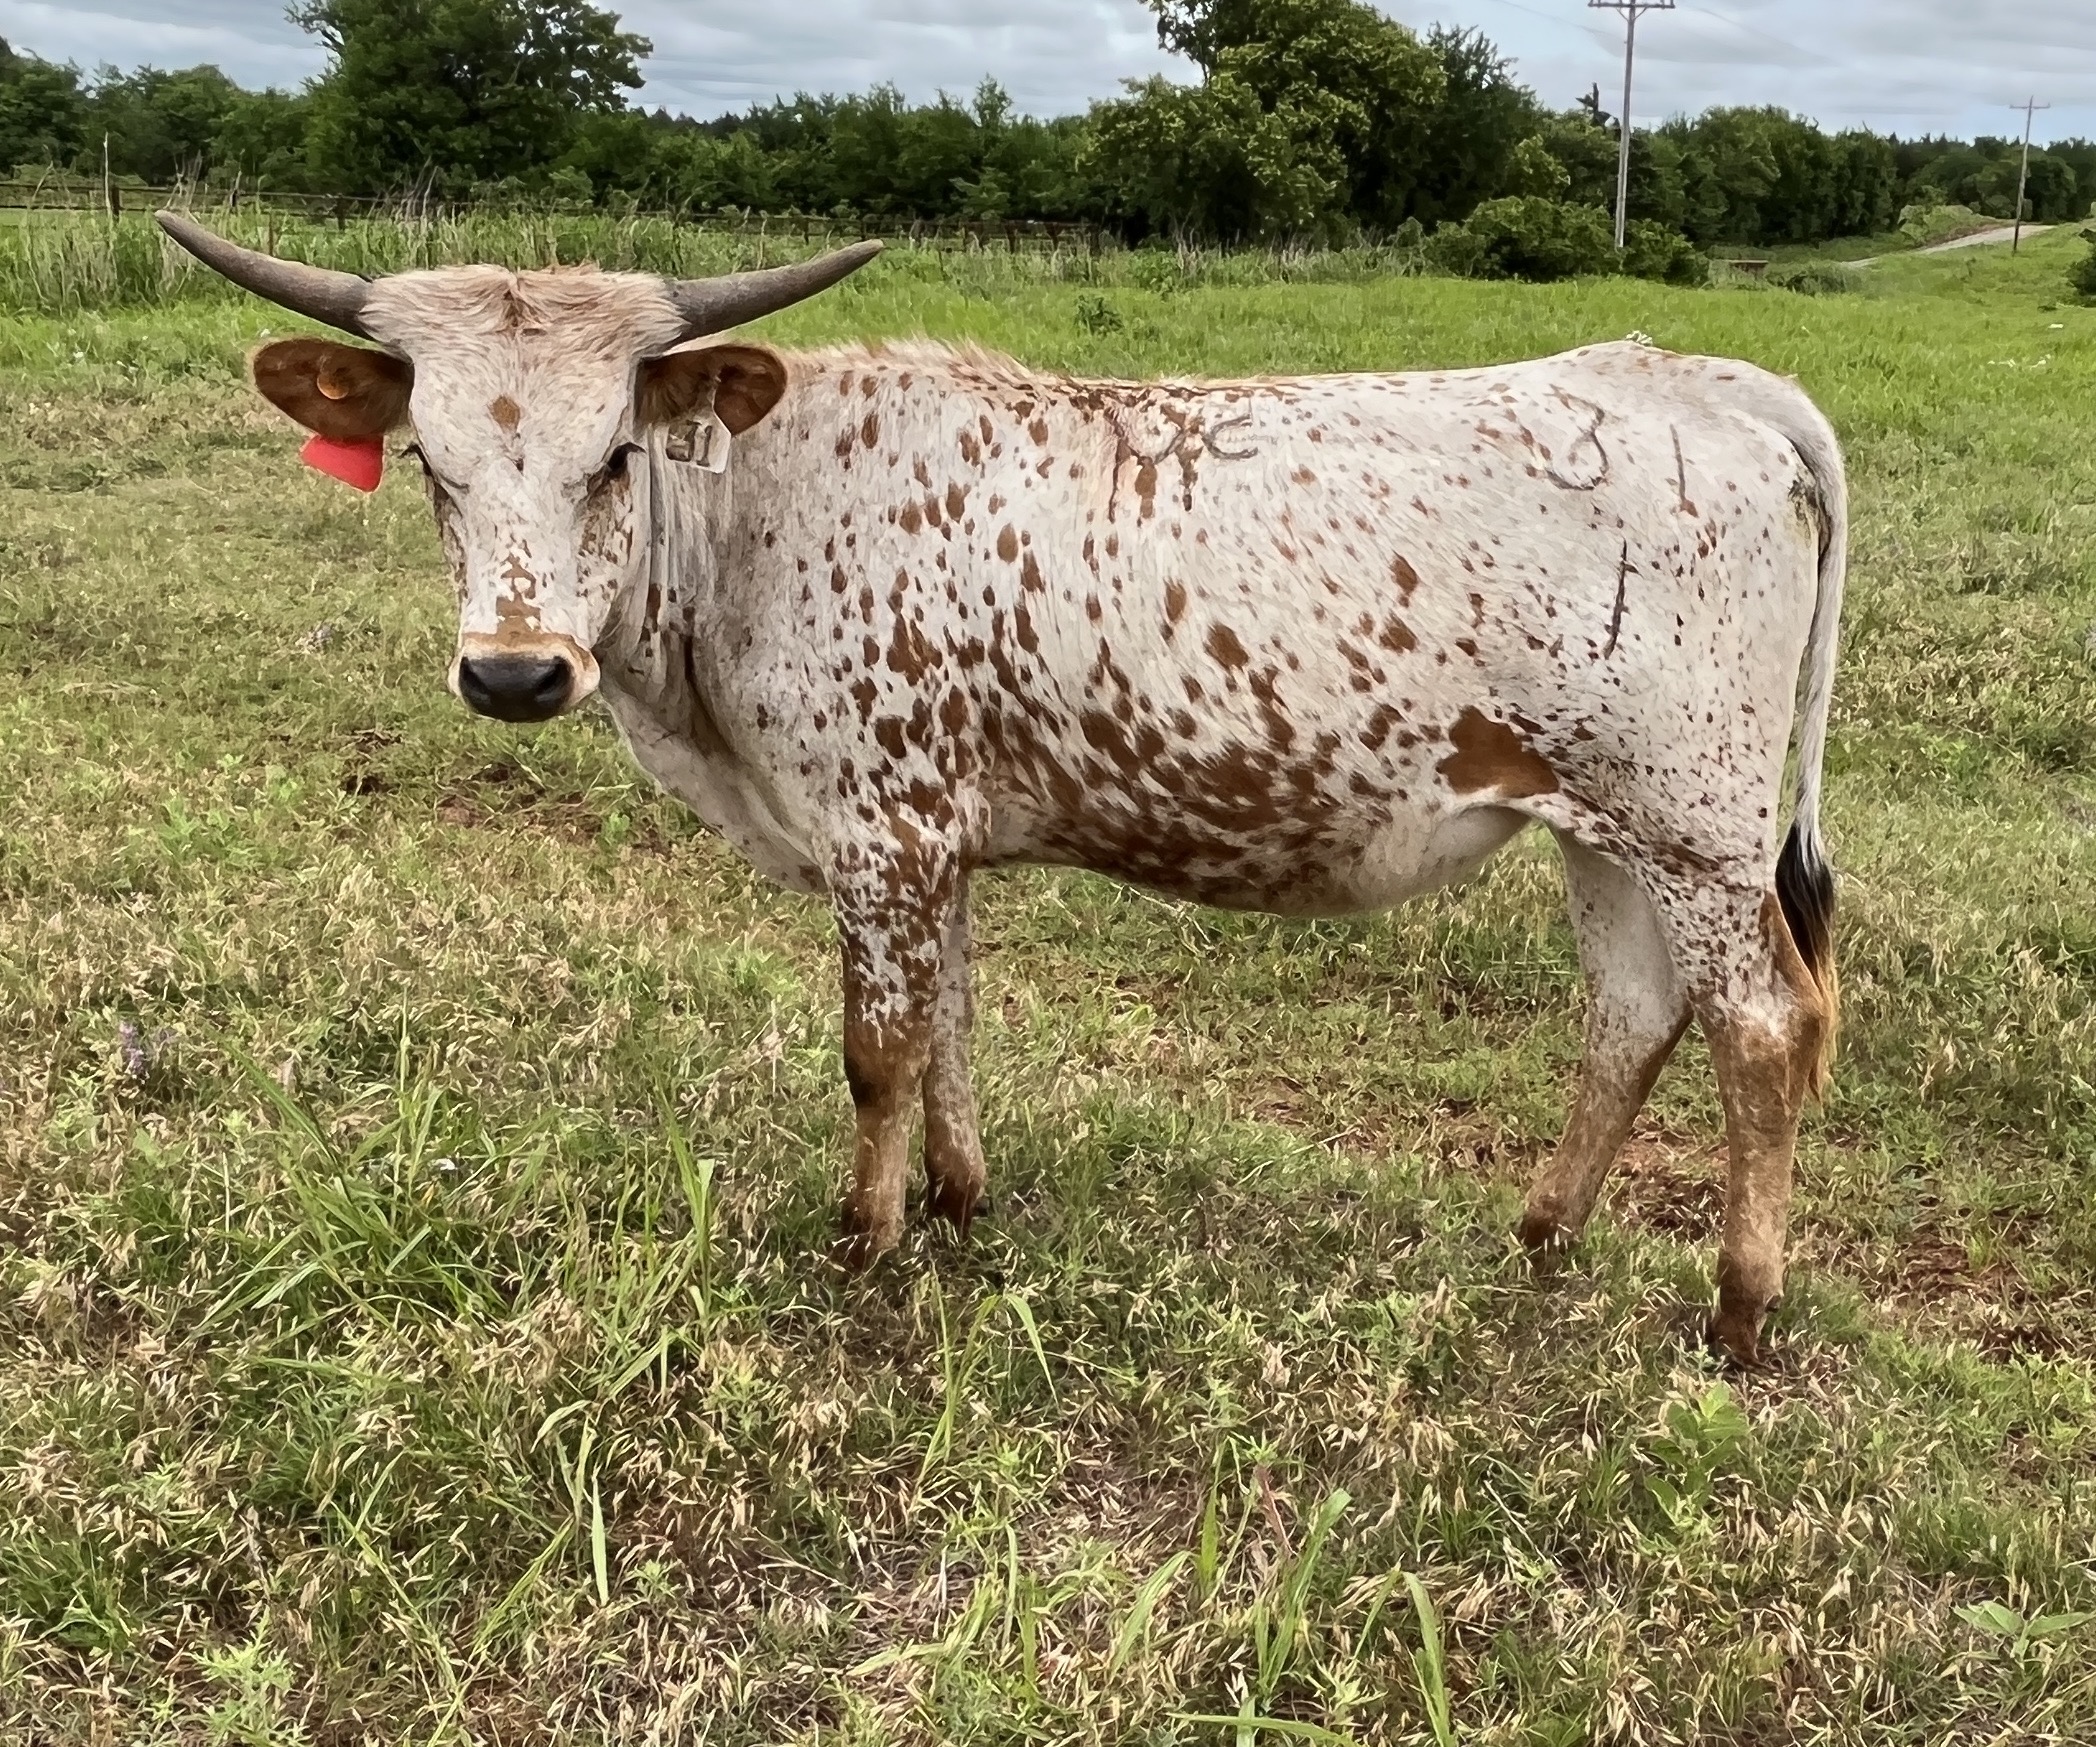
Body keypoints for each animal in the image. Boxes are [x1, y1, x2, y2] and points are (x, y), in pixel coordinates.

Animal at [161, 212, 1843, 1364]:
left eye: (616, 456)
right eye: (432, 466)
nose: (515, 674)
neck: (757, 516)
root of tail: (1711, 381)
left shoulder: (880, 828)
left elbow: (877, 1048)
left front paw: (864, 1241)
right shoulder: (935, 840)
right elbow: (952, 1020)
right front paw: (962, 1201)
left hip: (1695, 822)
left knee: (1763, 1028)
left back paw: (1741, 1306)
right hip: (1602, 824)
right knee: (1632, 1012)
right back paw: (1542, 1238)